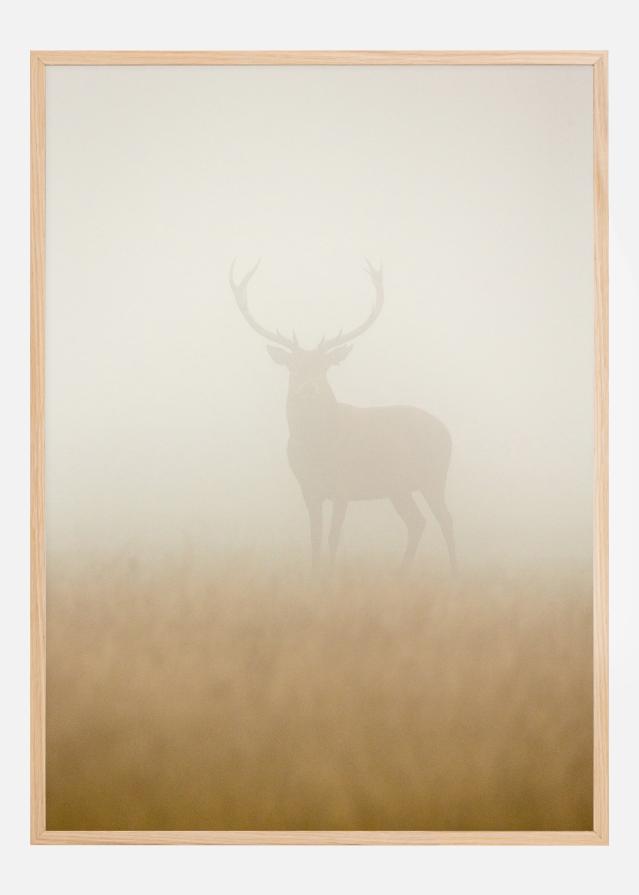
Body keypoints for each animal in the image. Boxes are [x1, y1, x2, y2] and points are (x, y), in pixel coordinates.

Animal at [230, 259, 456, 574]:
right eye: (292, 366)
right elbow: (314, 536)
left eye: (325, 367)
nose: (308, 389)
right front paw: (314, 573)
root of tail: (447, 432)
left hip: (434, 475)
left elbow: (333, 536)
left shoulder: (343, 486)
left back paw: (455, 571)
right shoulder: (308, 489)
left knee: (445, 519)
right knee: (417, 522)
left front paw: (331, 575)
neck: (316, 448)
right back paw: (401, 573)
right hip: (398, 487)